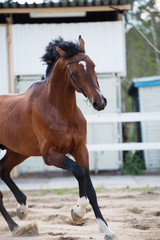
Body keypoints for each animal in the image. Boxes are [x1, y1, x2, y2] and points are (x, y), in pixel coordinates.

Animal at [0, 36, 117, 239]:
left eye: (93, 65)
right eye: (74, 73)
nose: (100, 102)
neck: (61, 111)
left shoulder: (80, 149)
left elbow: (90, 188)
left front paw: (106, 229)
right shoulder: (50, 155)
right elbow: (78, 171)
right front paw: (77, 211)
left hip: (18, 151)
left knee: (3, 170)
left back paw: (20, 213)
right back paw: (15, 225)